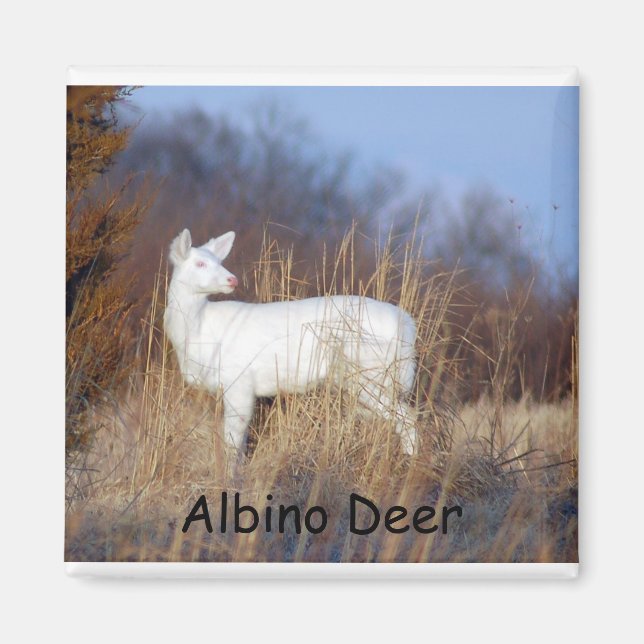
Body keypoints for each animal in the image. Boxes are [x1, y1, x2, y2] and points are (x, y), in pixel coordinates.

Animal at [163, 229, 418, 458]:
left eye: (218, 261)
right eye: (200, 263)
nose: (232, 279)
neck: (199, 330)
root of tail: (407, 324)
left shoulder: (239, 380)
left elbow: (232, 442)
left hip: (371, 373)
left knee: (408, 418)